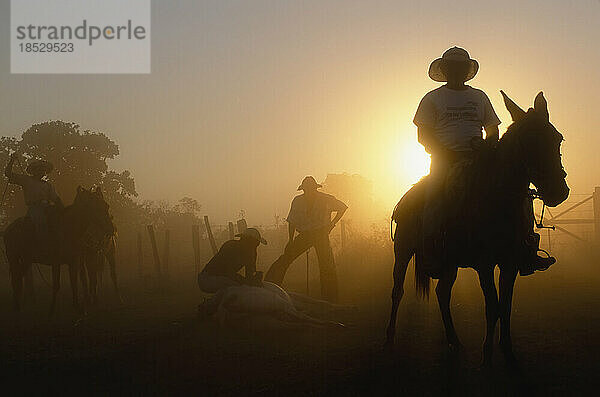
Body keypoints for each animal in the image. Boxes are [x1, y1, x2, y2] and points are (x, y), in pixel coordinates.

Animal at [386, 91, 568, 366]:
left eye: (557, 139)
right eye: (527, 142)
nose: (559, 191)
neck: (497, 200)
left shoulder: (510, 263)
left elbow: (505, 306)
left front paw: (508, 352)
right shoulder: (484, 264)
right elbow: (492, 306)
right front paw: (487, 357)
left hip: (449, 263)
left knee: (442, 293)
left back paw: (454, 341)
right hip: (403, 252)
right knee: (398, 291)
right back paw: (389, 339)